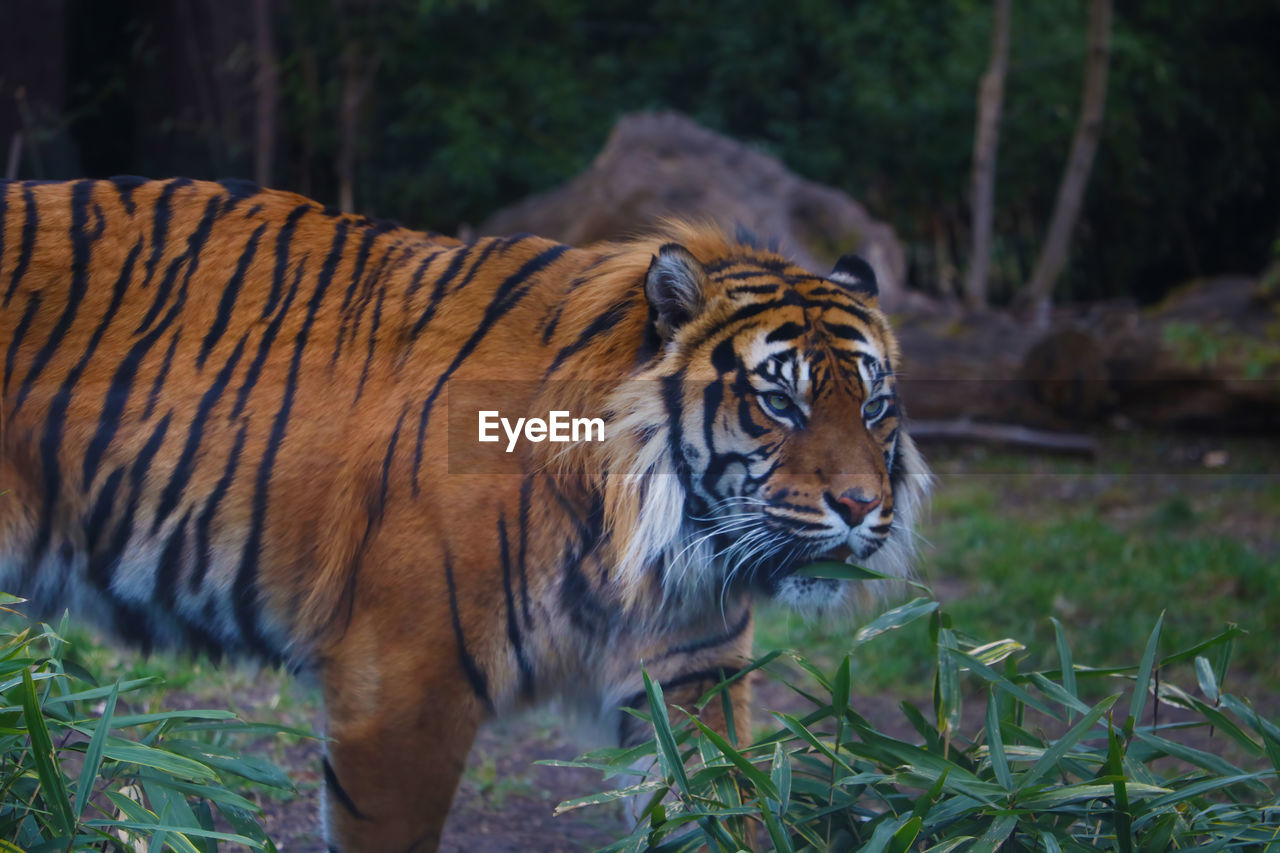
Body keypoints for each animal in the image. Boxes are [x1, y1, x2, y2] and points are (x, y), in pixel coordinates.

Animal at [0, 175, 926, 845]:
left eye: (877, 406)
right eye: (781, 403)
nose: (860, 506)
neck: (653, 539)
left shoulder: (692, 671)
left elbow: (718, 803)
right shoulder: (402, 685)